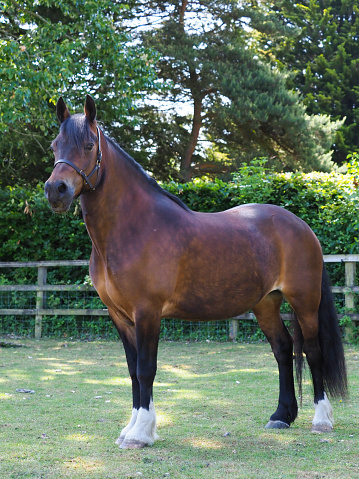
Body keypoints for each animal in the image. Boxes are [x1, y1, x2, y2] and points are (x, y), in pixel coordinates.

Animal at [43, 94, 348, 450]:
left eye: (89, 145)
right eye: (55, 145)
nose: (56, 190)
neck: (133, 227)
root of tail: (301, 226)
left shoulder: (147, 312)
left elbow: (146, 369)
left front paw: (141, 433)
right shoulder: (119, 315)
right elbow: (132, 371)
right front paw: (130, 428)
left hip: (304, 301)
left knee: (313, 351)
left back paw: (321, 420)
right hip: (266, 303)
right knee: (283, 349)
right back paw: (281, 416)